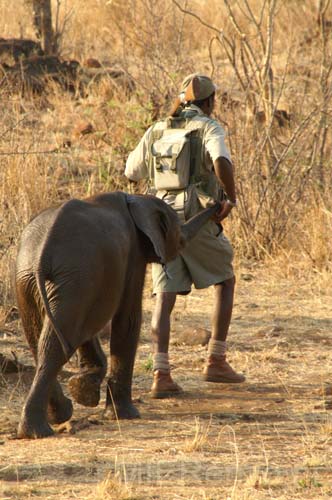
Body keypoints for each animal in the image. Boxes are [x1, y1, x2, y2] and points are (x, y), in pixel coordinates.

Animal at [14, 191, 220, 438]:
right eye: (179, 235)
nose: (219, 202)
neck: (137, 199)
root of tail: (42, 256)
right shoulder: (134, 255)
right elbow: (128, 319)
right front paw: (124, 415)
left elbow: (87, 327)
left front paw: (84, 391)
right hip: (74, 278)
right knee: (54, 345)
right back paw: (41, 429)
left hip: (29, 281)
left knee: (43, 341)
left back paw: (54, 419)